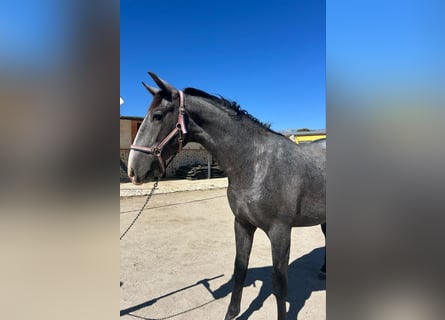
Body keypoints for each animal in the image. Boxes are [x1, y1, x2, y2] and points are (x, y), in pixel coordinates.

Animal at [126, 73, 324, 320]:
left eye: (158, 115)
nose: (133, 170)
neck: (256, 164)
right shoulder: (242, 224)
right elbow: (240, 270)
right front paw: (232, 313)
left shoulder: (280, 232)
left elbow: (279, 285)